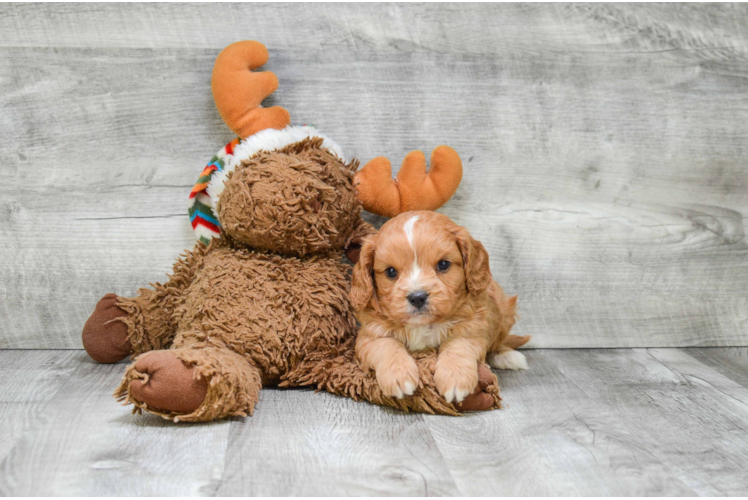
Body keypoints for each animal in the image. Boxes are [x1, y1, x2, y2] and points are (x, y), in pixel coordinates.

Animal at [354, 210, 528, 402]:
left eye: (443, 264)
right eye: (390, 272)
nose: (417, 297)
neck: (423, 325)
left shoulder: (472, 328)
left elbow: (457, 346)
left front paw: (455, 378)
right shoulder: (369, 335)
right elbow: (386, 345)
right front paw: (398, 375)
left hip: (504, 310)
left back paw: (506, 355)